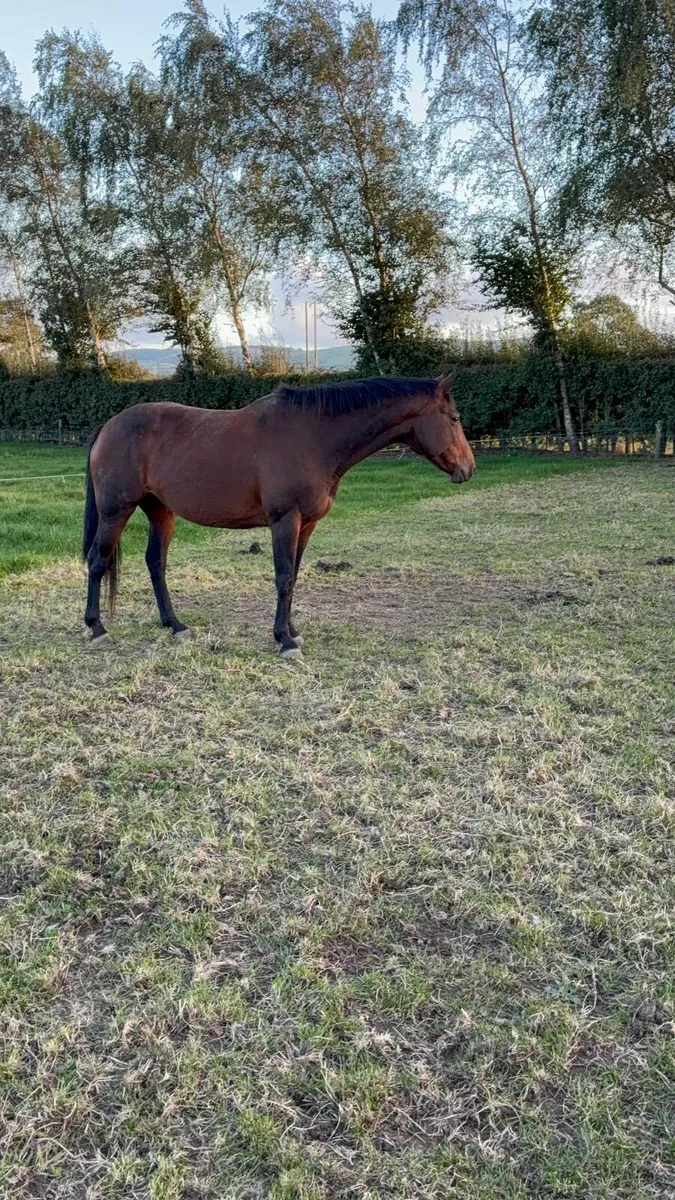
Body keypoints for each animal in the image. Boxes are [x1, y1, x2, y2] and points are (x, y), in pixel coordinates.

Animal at [82, 374, 475, 657]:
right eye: (454, 418)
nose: (468, 468)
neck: (313, 437)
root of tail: (109, 426)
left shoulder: (307, 524)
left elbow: (295, 577)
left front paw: (292, 631)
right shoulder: (286, 520)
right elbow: (284, 577)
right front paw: (283, 641)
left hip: (161, 511)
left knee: (156, 563)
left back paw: (175, 625)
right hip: (116, 510)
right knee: (98, 561)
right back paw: (97, 629)